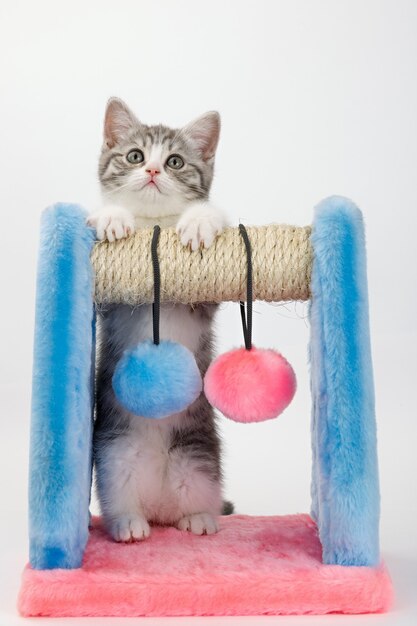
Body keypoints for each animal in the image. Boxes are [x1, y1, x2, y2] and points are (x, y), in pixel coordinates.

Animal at [87, 100, 228, 540]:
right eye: (135, 156)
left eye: (175, 161)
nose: (152, 171)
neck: (154, 226)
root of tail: (159, 508)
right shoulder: (111, 300)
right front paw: (111, 217)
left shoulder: (206, 299)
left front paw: (200, 220)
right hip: (114, 456)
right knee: (121, 498)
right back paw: (128, 525)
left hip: (198, 456)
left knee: (200, 494)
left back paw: (198, 520)